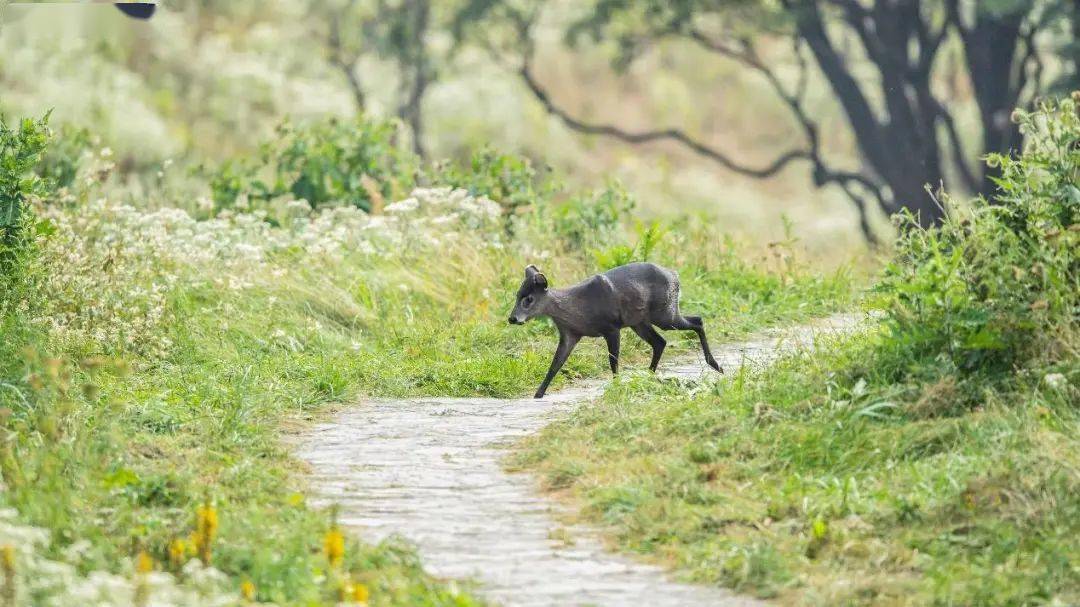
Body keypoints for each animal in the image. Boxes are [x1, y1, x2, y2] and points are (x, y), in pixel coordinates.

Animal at [507, 260, 725, 397]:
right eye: (517, 295)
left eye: (529, 299)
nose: (512, 318)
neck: (577, 309)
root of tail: (675, 275)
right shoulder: (570, 334)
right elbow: (555, 364)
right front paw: (539, 393)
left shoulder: (611, 327)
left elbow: (613, 361)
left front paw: (616, 385)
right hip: (640, 321)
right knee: (660, 342)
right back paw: (648, 375)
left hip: (664, 313)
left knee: (697, 321)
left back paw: (716, 365)